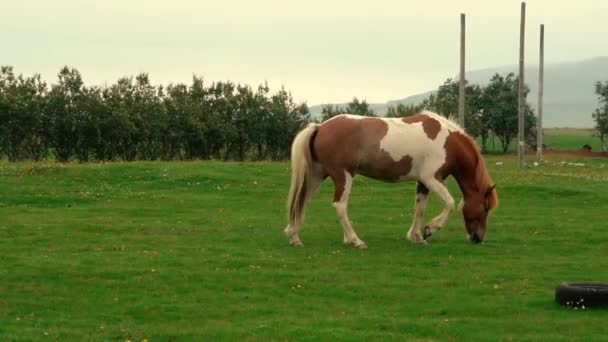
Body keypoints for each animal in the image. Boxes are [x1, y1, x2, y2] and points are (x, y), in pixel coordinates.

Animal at [282, 111, 496, 248]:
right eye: (485, 208)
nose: (478, 238)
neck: (448, 142)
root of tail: (320, 127)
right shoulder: (432, 179)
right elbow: (450, 203)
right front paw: (429, 229)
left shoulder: (423, 182)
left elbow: (419, 209)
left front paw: (416, 236)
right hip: (343, 176)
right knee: (339, 206)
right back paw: (355, 240)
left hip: (317, 175)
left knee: (301, 201)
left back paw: (295, 237)